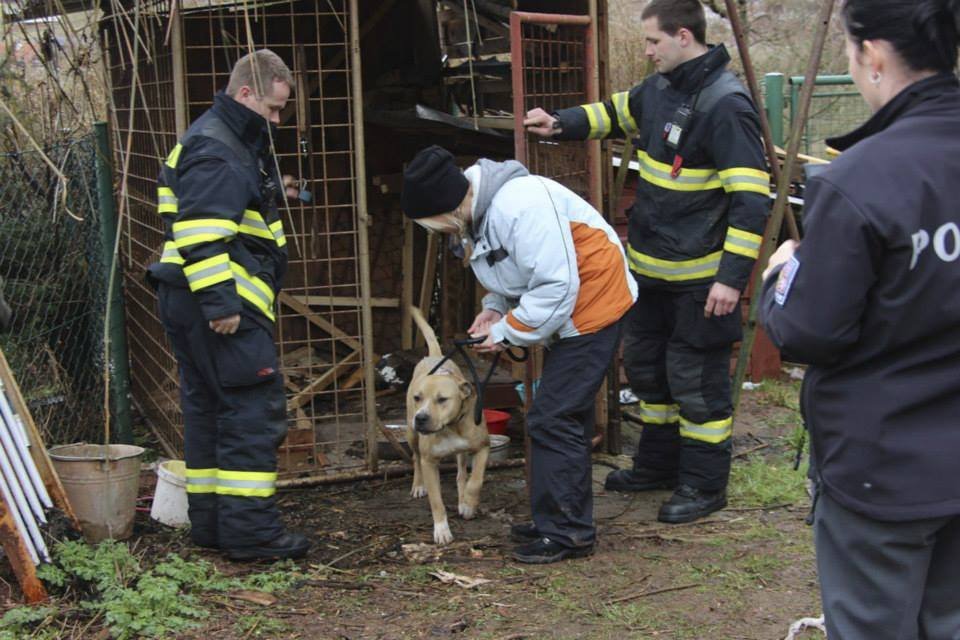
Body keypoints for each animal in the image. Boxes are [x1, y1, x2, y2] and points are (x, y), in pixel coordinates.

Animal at [406, 308, 492, 544]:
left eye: (442, 399)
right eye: (418, 398)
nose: (421, 418)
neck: (450, 426)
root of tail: (434, 355)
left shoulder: (483, 447)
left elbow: (476, 480)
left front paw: (469, 504)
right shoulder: (429, 463)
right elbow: (436, 501)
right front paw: (442, 530)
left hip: (462, 452)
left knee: (461, 473)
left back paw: (462, 499)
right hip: (411, 434)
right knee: (415, 457)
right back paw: (418, 485)